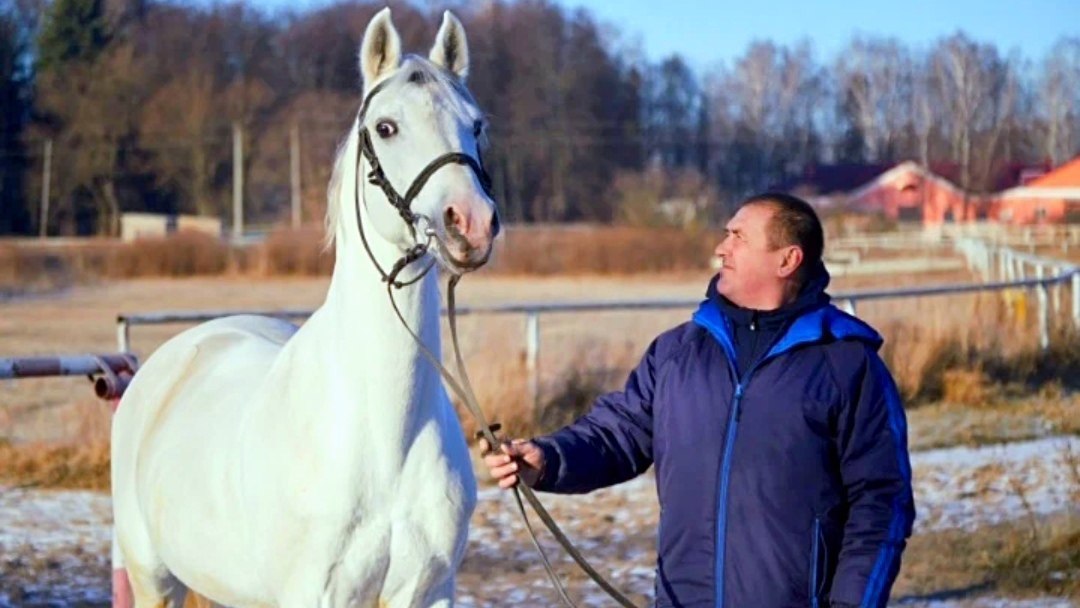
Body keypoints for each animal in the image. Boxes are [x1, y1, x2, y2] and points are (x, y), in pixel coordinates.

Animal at [109, 8, 496, 604]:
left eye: (476, 125)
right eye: (386, 127)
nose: (470, 223)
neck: (385, 438)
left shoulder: (429, 591)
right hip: (154, 578)